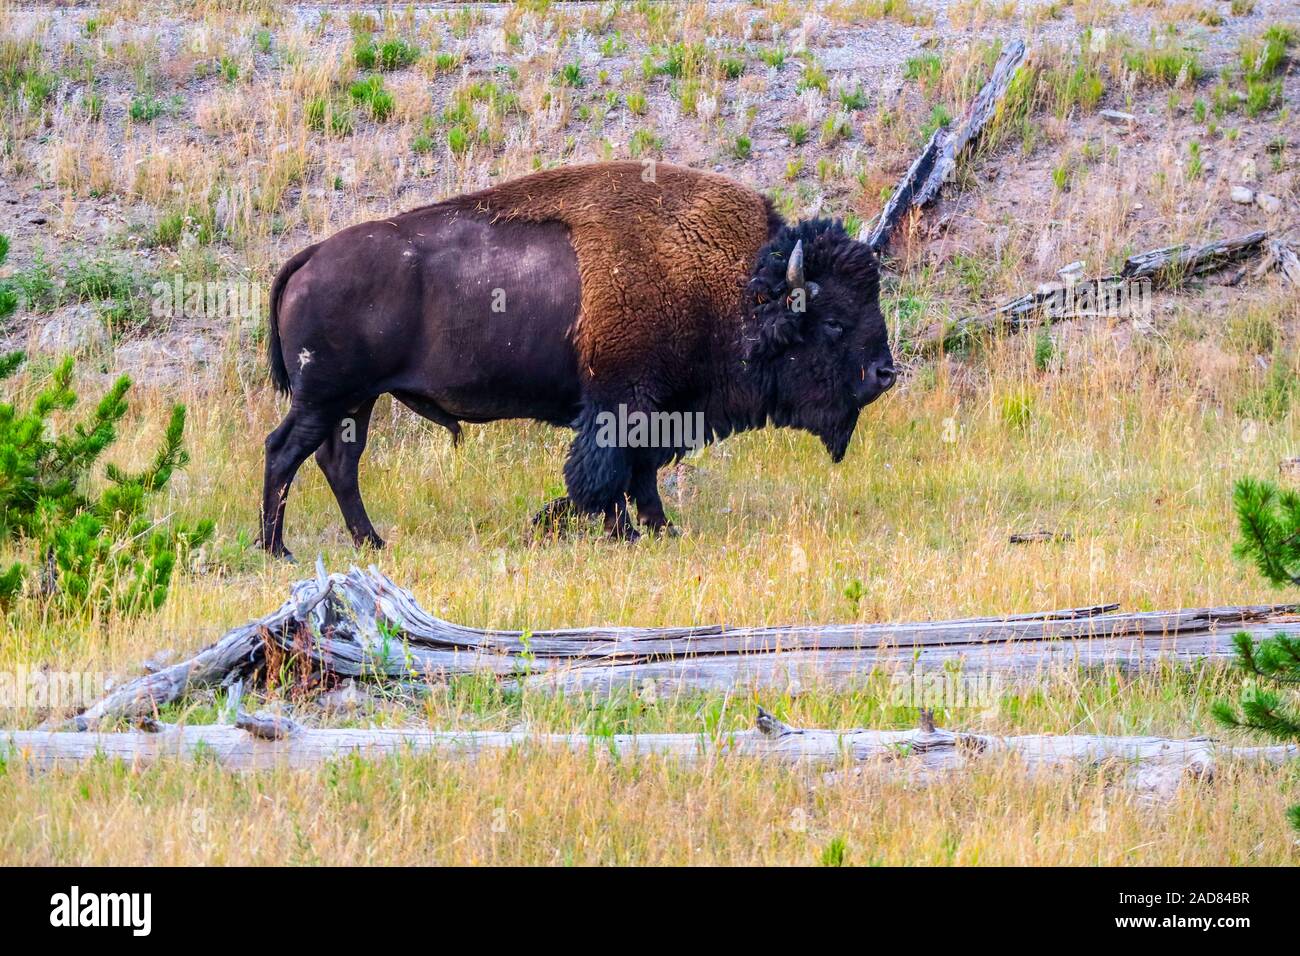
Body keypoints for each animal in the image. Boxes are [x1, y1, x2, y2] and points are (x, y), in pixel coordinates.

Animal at [263, 160, 894, 556]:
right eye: (835, 322)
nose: (884, 374)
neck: (735, 285)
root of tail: (311, 254)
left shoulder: (657, 410)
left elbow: (636, 475)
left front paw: (655, 530)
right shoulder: (622, 403)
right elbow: (607, 474)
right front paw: (614, 533)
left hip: (356, 401)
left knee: (339, 463)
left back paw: (370, 543)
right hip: (325, 397)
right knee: (285, 452)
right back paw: (278, 549)